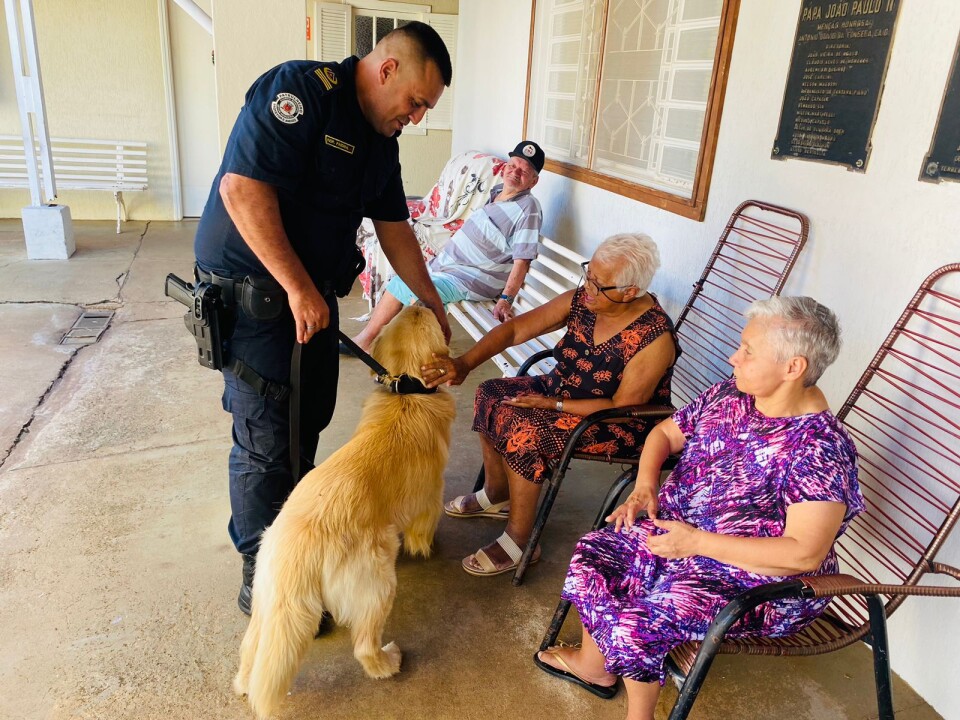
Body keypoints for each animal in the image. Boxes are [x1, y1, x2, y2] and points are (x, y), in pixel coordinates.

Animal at [233, 306, 458, 716]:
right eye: (427, 317)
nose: (418, 302)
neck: (407, 392)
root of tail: (298, 543)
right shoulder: (432, 494)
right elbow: (424, 526)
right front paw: (427, 546)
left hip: (268, 601)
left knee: (251, 647)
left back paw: (243, 684)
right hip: (377, 581)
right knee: (364, 646)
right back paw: (388, 662)